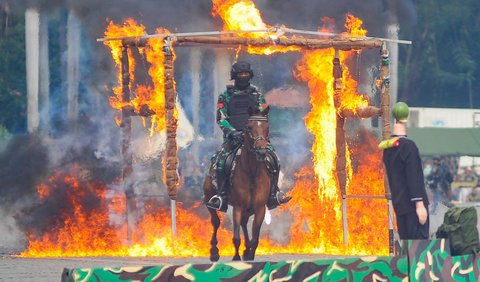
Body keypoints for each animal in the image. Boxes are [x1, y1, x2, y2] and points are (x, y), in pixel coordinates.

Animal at [202, 113, 272, 262]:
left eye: (267, 127)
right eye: (249, 127)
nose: (262, 151)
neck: (251, 172)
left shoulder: (260, 208)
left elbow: (255, 237)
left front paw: (250, 253)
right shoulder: (238, 207)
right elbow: (235, 236)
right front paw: (236, 257)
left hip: (249, 208)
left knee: (244, 223)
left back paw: (246, 249)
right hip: (209, 199)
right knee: (216, 222)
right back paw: (214, 252)